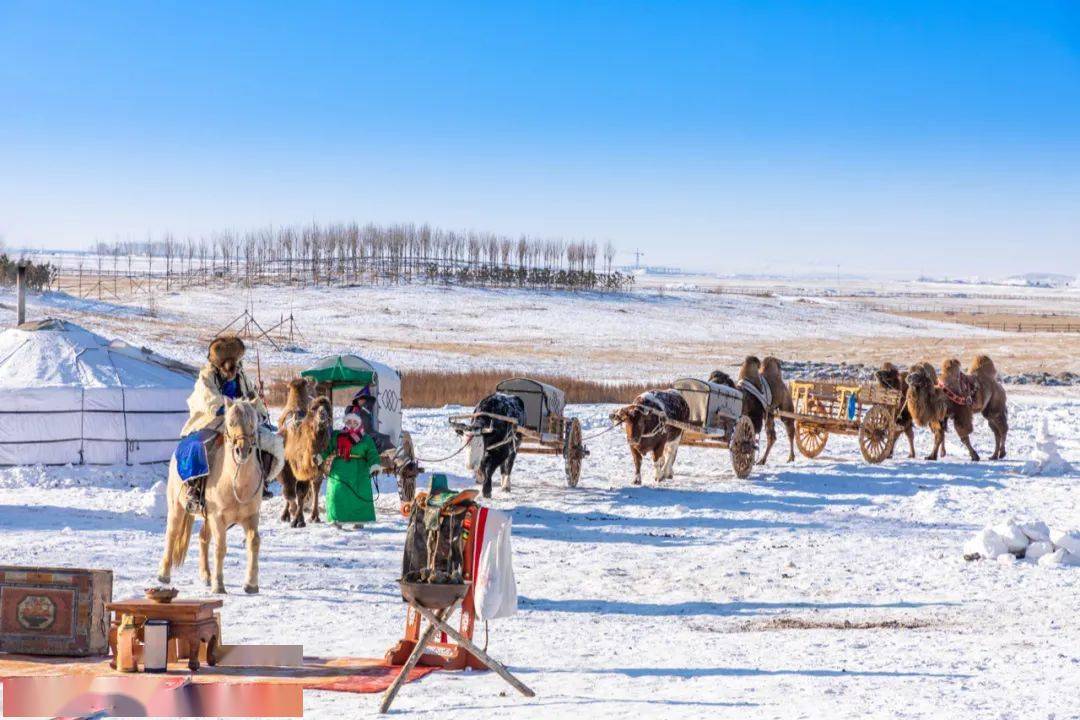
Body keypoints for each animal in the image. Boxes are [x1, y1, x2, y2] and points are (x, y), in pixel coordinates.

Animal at [157, 397, 264, 595]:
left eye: (252, 423)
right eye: (231, 423)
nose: (242, 450)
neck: (235, 483)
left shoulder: (251, 517)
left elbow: (254, 542)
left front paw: (251, 584)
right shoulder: (217, 518)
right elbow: (220, 548)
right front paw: (219, 585)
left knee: (203, 538)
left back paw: (206, 575)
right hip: (177, 507)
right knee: (172, 534)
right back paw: (164, 575)